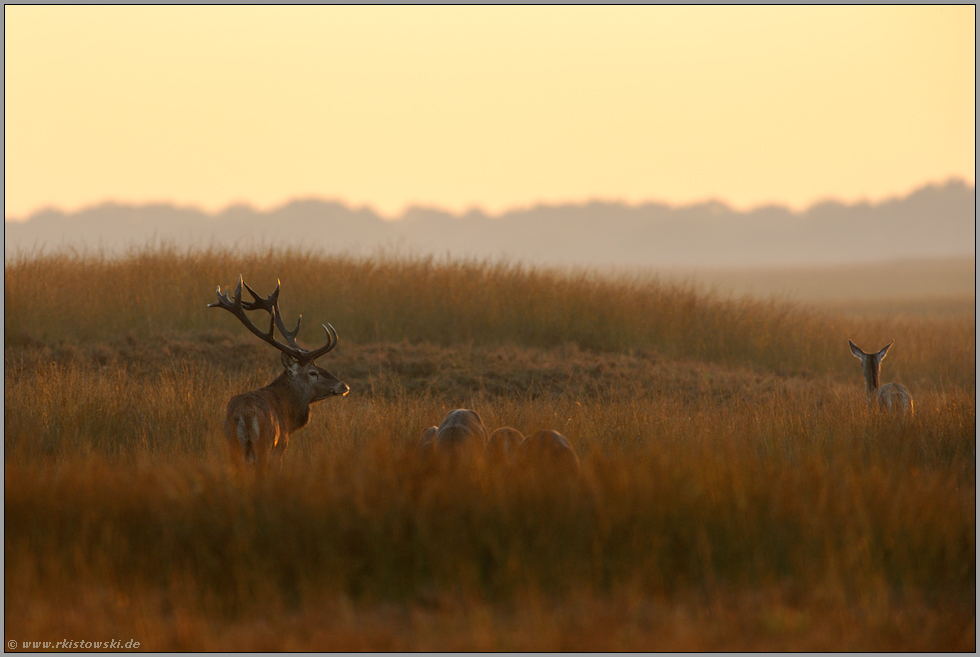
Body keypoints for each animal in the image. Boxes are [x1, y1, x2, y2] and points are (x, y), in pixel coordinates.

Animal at [209, 276, 350, 466]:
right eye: (313, 372)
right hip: (264, 445)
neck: (289, 418)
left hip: (233, 445)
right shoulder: (281, 446)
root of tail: (245, 413)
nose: (344, 386)